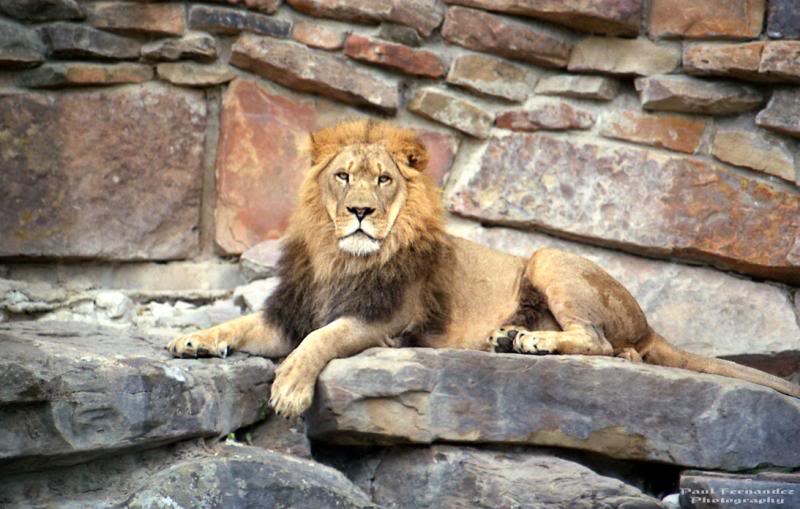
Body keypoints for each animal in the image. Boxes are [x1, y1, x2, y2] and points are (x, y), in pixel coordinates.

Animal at [168, 119, 800, 418]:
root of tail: (648, 324)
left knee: (606, 345)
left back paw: (533, 342)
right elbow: (240, 325)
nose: (360, 212)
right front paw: (192, 339)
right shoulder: (288, 313)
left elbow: (318, 341)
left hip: (548, 258)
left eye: (384, 180)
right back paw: (509, 336)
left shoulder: (381, 321)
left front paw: (290, 390)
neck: (339, 257)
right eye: (343, 177)